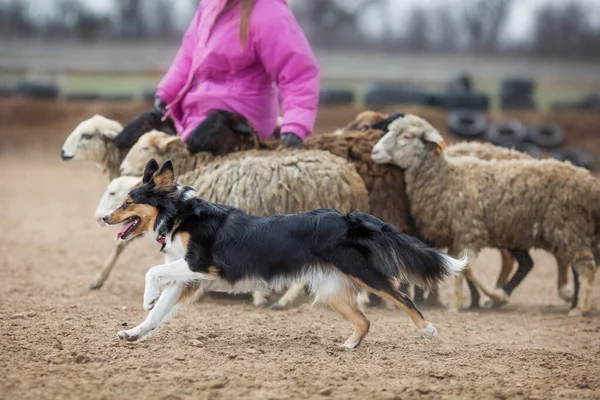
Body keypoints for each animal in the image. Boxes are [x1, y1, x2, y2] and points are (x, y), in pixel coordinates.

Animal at [104, 159, 468, 346]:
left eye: (128, 202)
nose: (105, 218)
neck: (179, 214)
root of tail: (350, 217)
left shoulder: (199, 264)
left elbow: (153, 273)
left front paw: (147, 297)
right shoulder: (187, 278)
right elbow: (157, 314)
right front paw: (134, 332)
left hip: (365, 274)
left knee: (403, 298)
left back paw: (428, 330)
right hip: (330, 290)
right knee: (364, 321)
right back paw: (348, 346)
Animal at [372, 114, 596, 318]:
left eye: (407, 136)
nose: (374, 151)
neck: (448, 177)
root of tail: (589, 182)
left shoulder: (470, 231)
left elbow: (467, 269)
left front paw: (492, 296)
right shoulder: (456, 235)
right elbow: (456, 268)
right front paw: (459, 302)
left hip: (566, 228)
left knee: (585, 266)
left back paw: (578, 307)